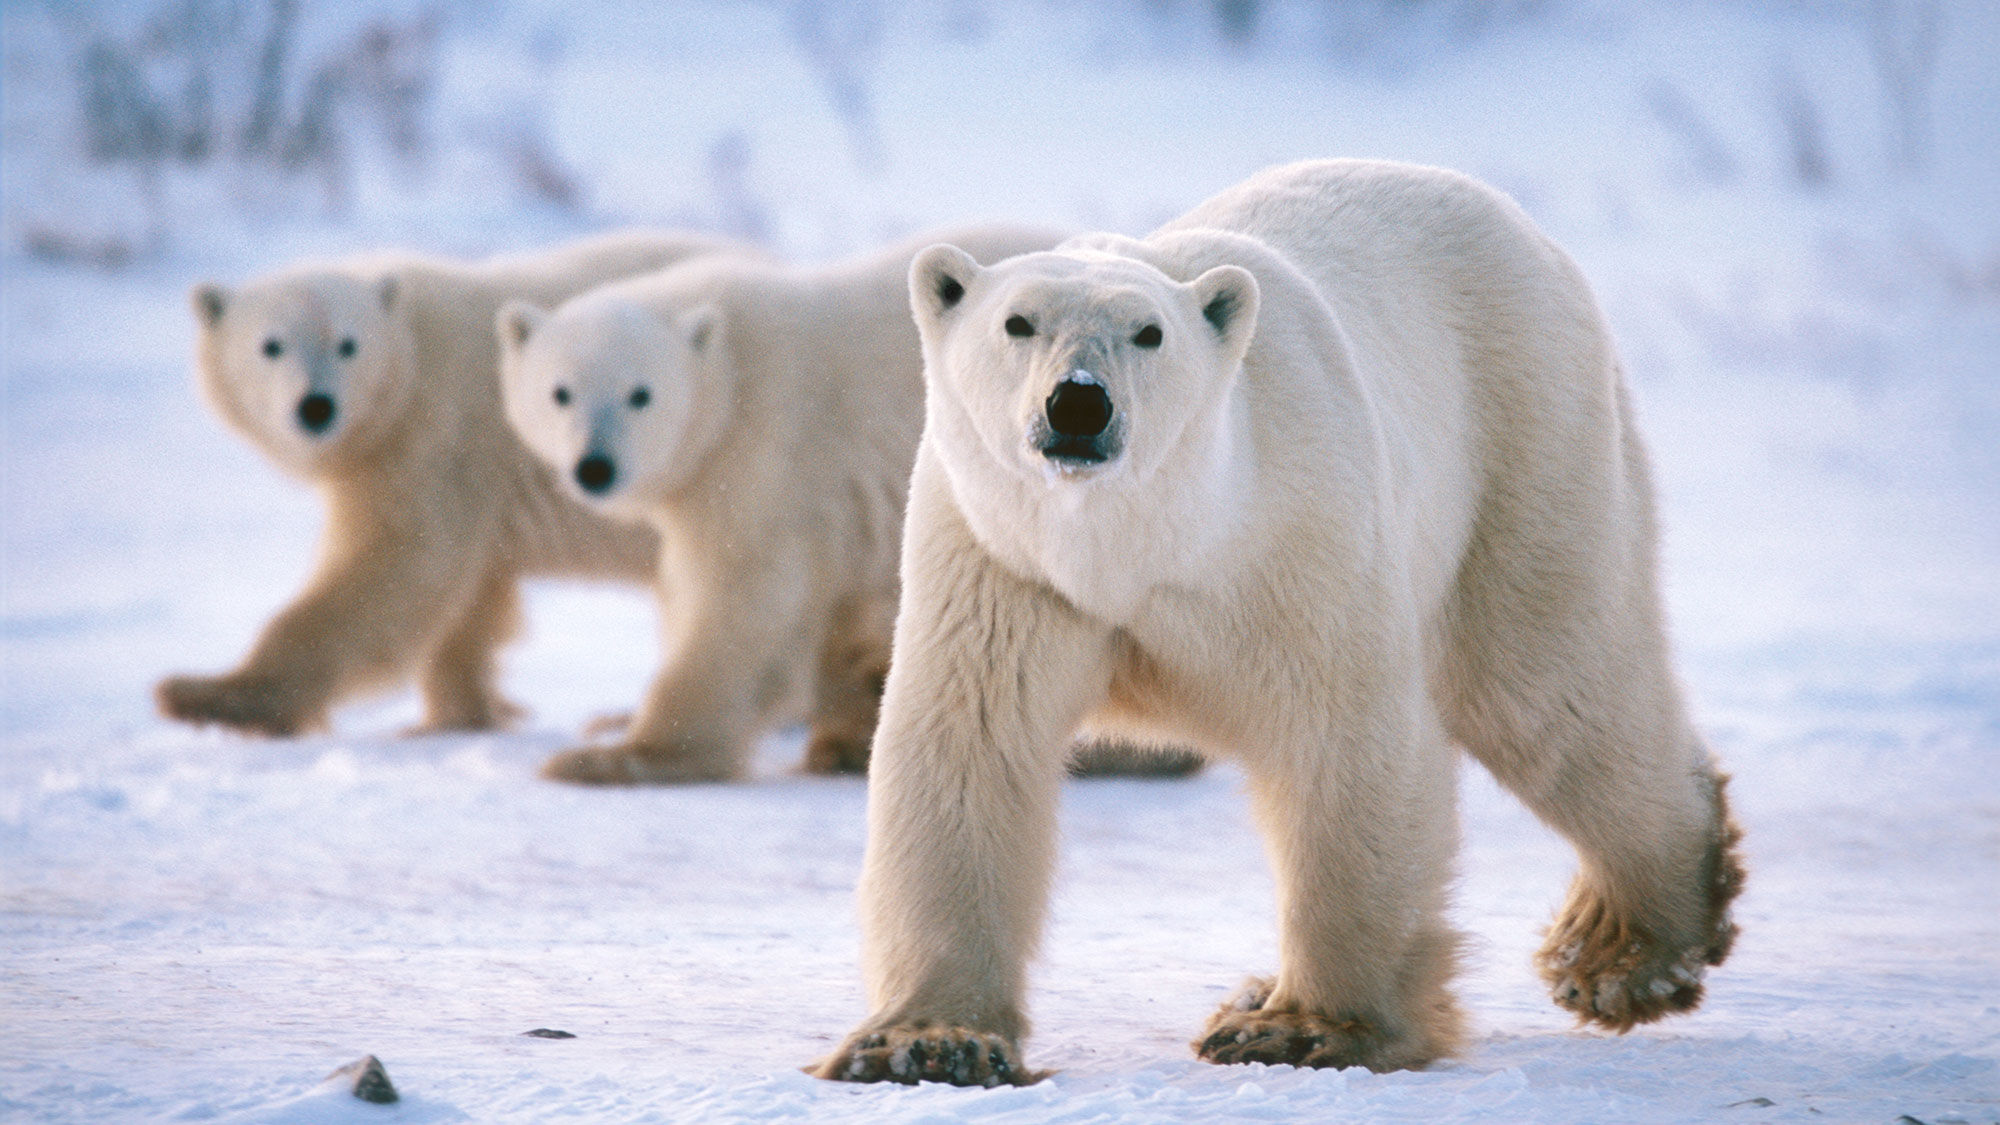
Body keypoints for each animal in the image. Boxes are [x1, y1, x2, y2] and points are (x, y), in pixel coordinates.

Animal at [157, 230, 763, 738]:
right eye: (271, 345)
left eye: (348, 344)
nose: (316, 407)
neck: (413, 355)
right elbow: (468, 600)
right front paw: (459, 714)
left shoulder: (435, 440)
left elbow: (394, 568)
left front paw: (204, 695)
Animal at [497, 223, 1076, 784]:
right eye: (559, 392)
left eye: (641, 394)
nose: (595, 466)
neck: (727, 365)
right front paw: (844, 738)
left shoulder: (769, 450)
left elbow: (743, 598)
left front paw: (615, 757)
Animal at [812, 159, 1745, 1086]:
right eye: (1017, 321)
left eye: (1149, 333)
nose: (1079, 404)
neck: (1144, 542)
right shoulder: (1002, 561)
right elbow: (969, 746)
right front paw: (929, 1040)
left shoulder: (1294, 537)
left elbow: (1341, 738)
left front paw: (1304, 1027)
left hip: (1525, 438)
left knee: (1543, 688)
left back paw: (1625, 948)